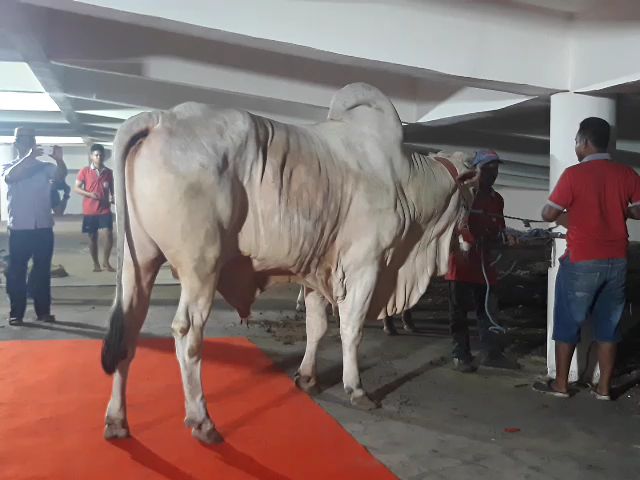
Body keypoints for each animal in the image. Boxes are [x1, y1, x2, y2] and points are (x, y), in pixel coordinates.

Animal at [101, 81, 476, 442]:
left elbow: (317, 326)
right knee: (187, 331)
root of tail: (162, 117)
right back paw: (201, 420)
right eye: (473, 192)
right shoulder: (365, 264)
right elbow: (351, 329)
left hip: (139, 262)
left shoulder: (317, 272)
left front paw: (307, 377)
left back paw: (117, 420)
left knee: (127, 325)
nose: (470, 241)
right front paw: (355, 388)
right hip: (200, 266)